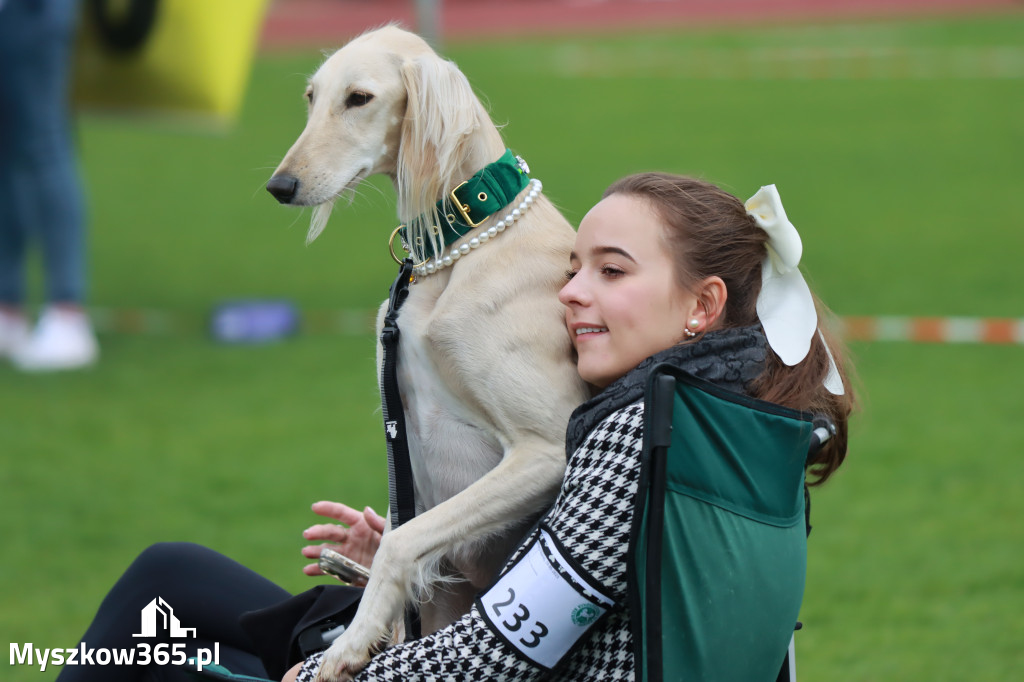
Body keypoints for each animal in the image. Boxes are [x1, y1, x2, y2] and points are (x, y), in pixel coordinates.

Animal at [268, 25, 589, 675]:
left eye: (359, 98)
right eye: (312, 97)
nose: (279, 186)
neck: (464, 243)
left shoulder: (546, 447)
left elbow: (399, 542)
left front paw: (349, 643)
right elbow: (398, 537)